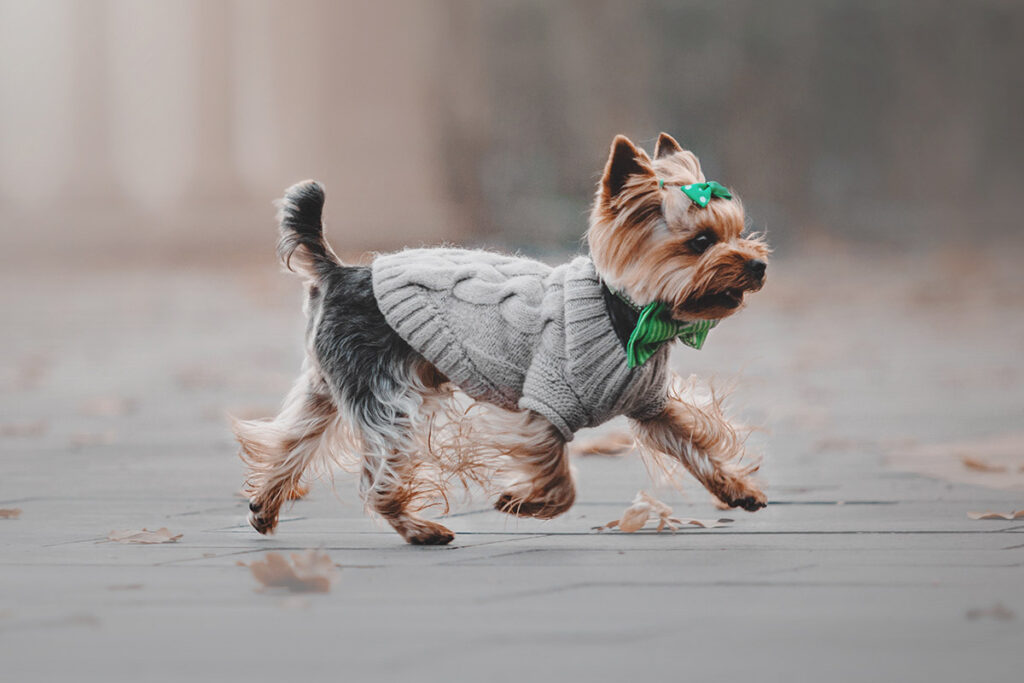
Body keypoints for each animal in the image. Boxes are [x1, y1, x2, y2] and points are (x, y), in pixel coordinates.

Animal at [235, 135, 770, 544]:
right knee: (377, 479)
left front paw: (738, 490)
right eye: (700, 242)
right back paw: (419, 529)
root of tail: (339, 272)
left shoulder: (651, 406)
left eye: (738, 232)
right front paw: (523, 504)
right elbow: (560, 481)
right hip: (387, 396)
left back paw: (265, 506)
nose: (759, 264)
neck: (629, 313)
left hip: (329, 384)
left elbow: (695, 442)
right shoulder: (545, 404)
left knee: (290, 441)